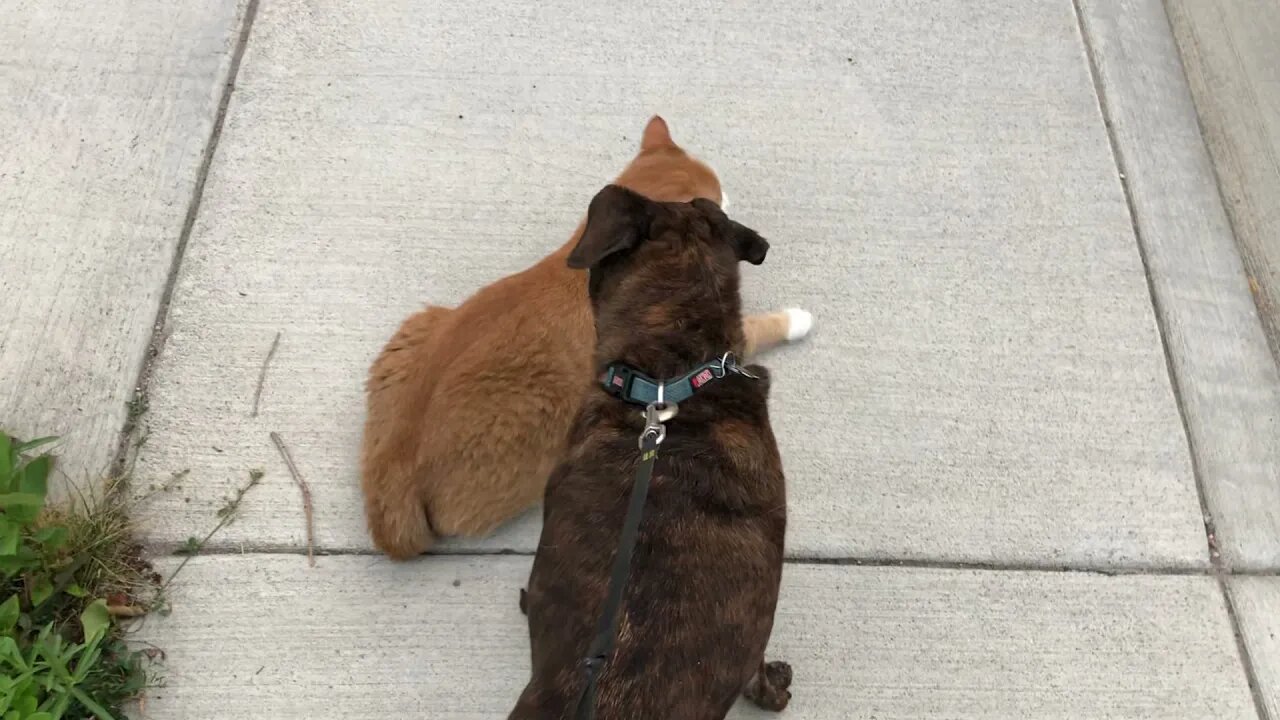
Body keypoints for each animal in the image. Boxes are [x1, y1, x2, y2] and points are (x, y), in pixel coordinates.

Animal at [358, 116, 808, 556]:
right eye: (717, 198)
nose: (731, 200)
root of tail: (394, 471)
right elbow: (762, 325)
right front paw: (797, 320)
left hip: (415, 327)